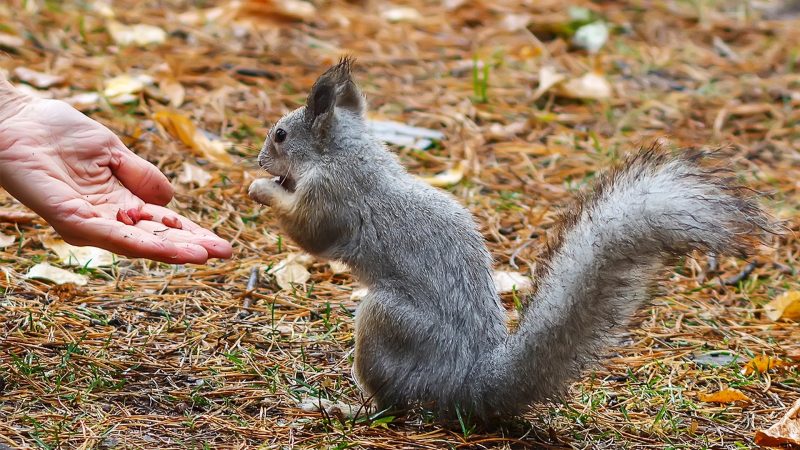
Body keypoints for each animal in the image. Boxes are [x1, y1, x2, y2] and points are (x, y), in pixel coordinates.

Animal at [247, 57, 772, 422]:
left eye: (280, 135)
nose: (258, 160)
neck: (347, 152)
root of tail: (465, 383)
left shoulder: (333, 195)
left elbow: (311, 234)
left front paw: (262, 189)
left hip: (388, 321)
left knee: (392, 404)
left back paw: (342, 409)